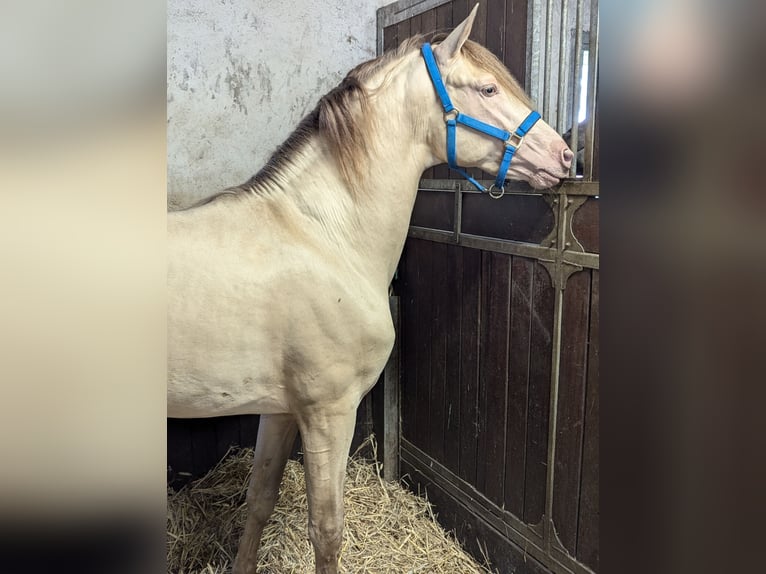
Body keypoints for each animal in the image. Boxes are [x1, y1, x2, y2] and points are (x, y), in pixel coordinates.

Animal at [170, 5, 576, 574]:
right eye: (489, 89)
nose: (564, 157)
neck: (322, 236)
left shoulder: (280, 409)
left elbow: (259, 500)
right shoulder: (329, 412)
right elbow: (326, 531)